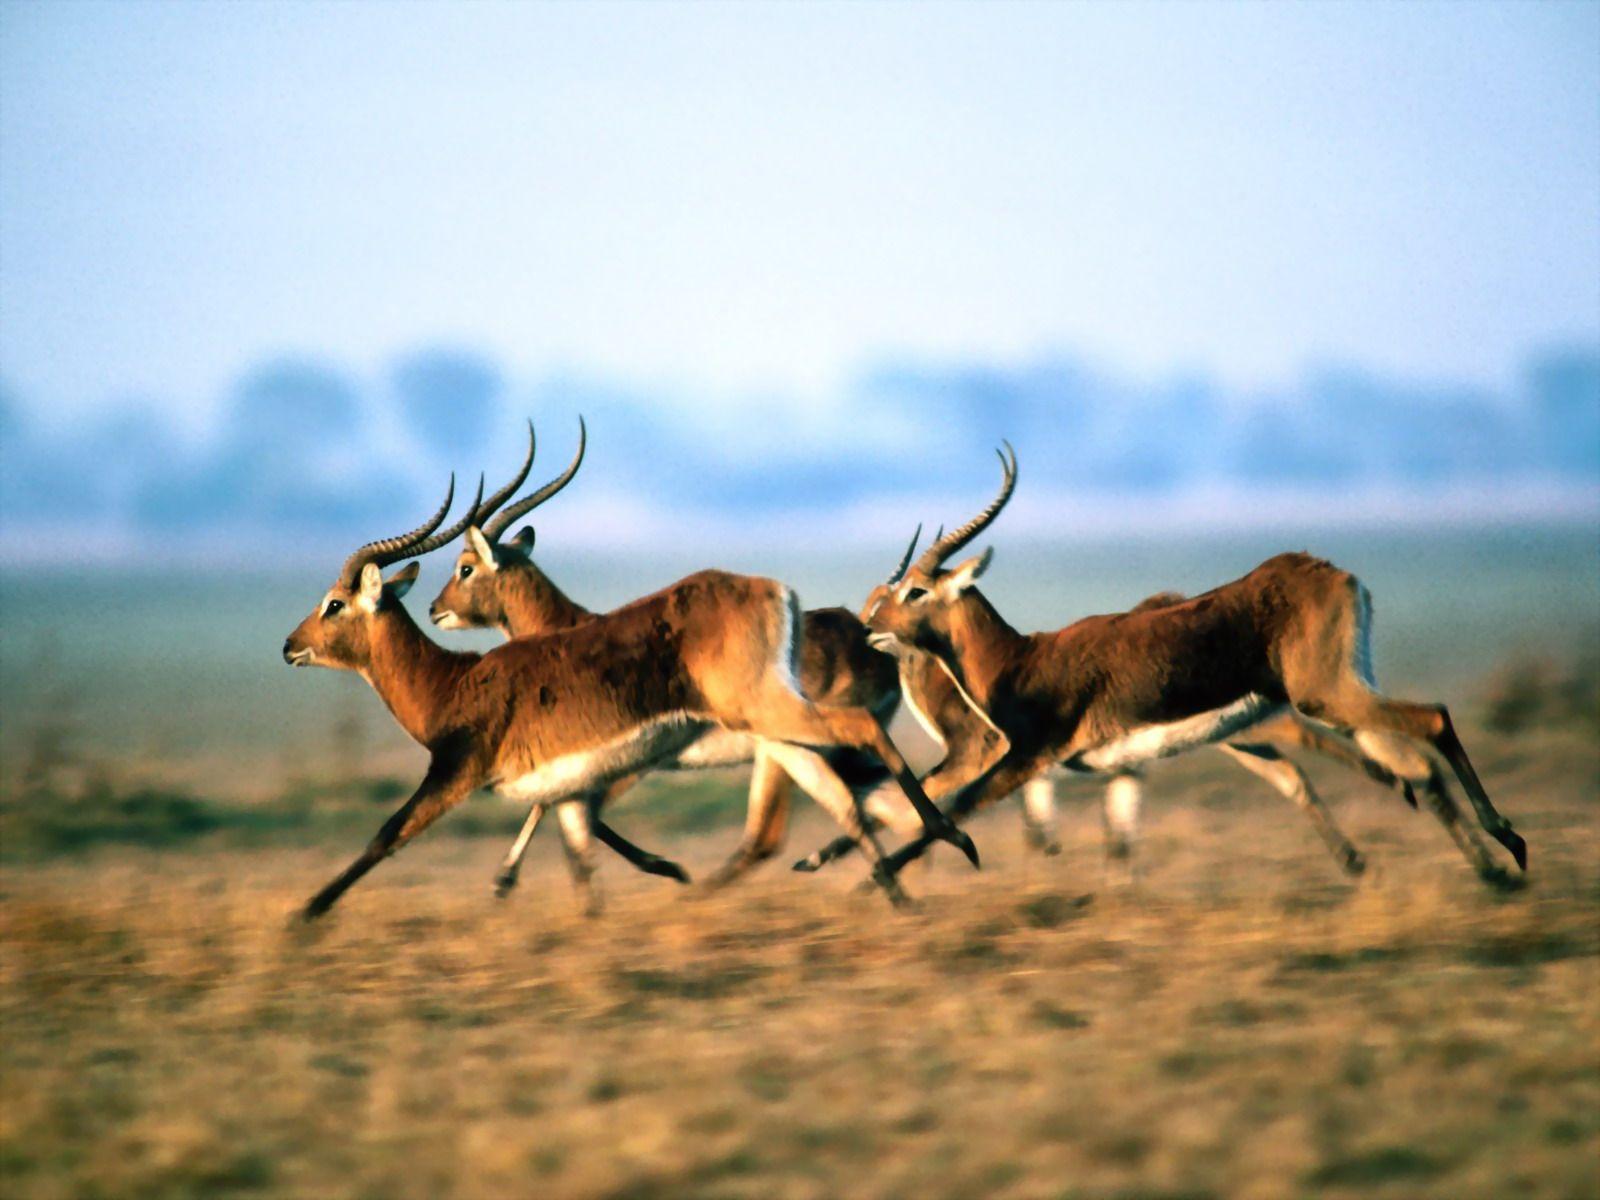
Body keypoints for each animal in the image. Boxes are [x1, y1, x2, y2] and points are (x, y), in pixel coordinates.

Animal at [282, 482, 978, 920]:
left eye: (334, 604)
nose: (290, 646)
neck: (452, 683)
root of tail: (779, 591)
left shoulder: (458, 773)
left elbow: (388, 833)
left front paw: (307, 913)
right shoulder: (569, 791)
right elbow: (583, 864)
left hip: (773, 719)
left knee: (857, 758)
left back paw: (946, 845)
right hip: (778, 737)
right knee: (844, 805)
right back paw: (895, 891)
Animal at [846, 447, 1528, 889]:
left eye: (916, 591)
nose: (868, 625)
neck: (1020, 660)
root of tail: (1334, 573)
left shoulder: (1031, 754)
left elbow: (960, 805)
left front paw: (879, 874)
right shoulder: (1115, 769)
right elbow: (1118, 848)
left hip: (1323, 697)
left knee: (1434, 720)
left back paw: (1509, 842)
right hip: (1340, 697)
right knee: (1415, 764)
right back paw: (1490, 873)